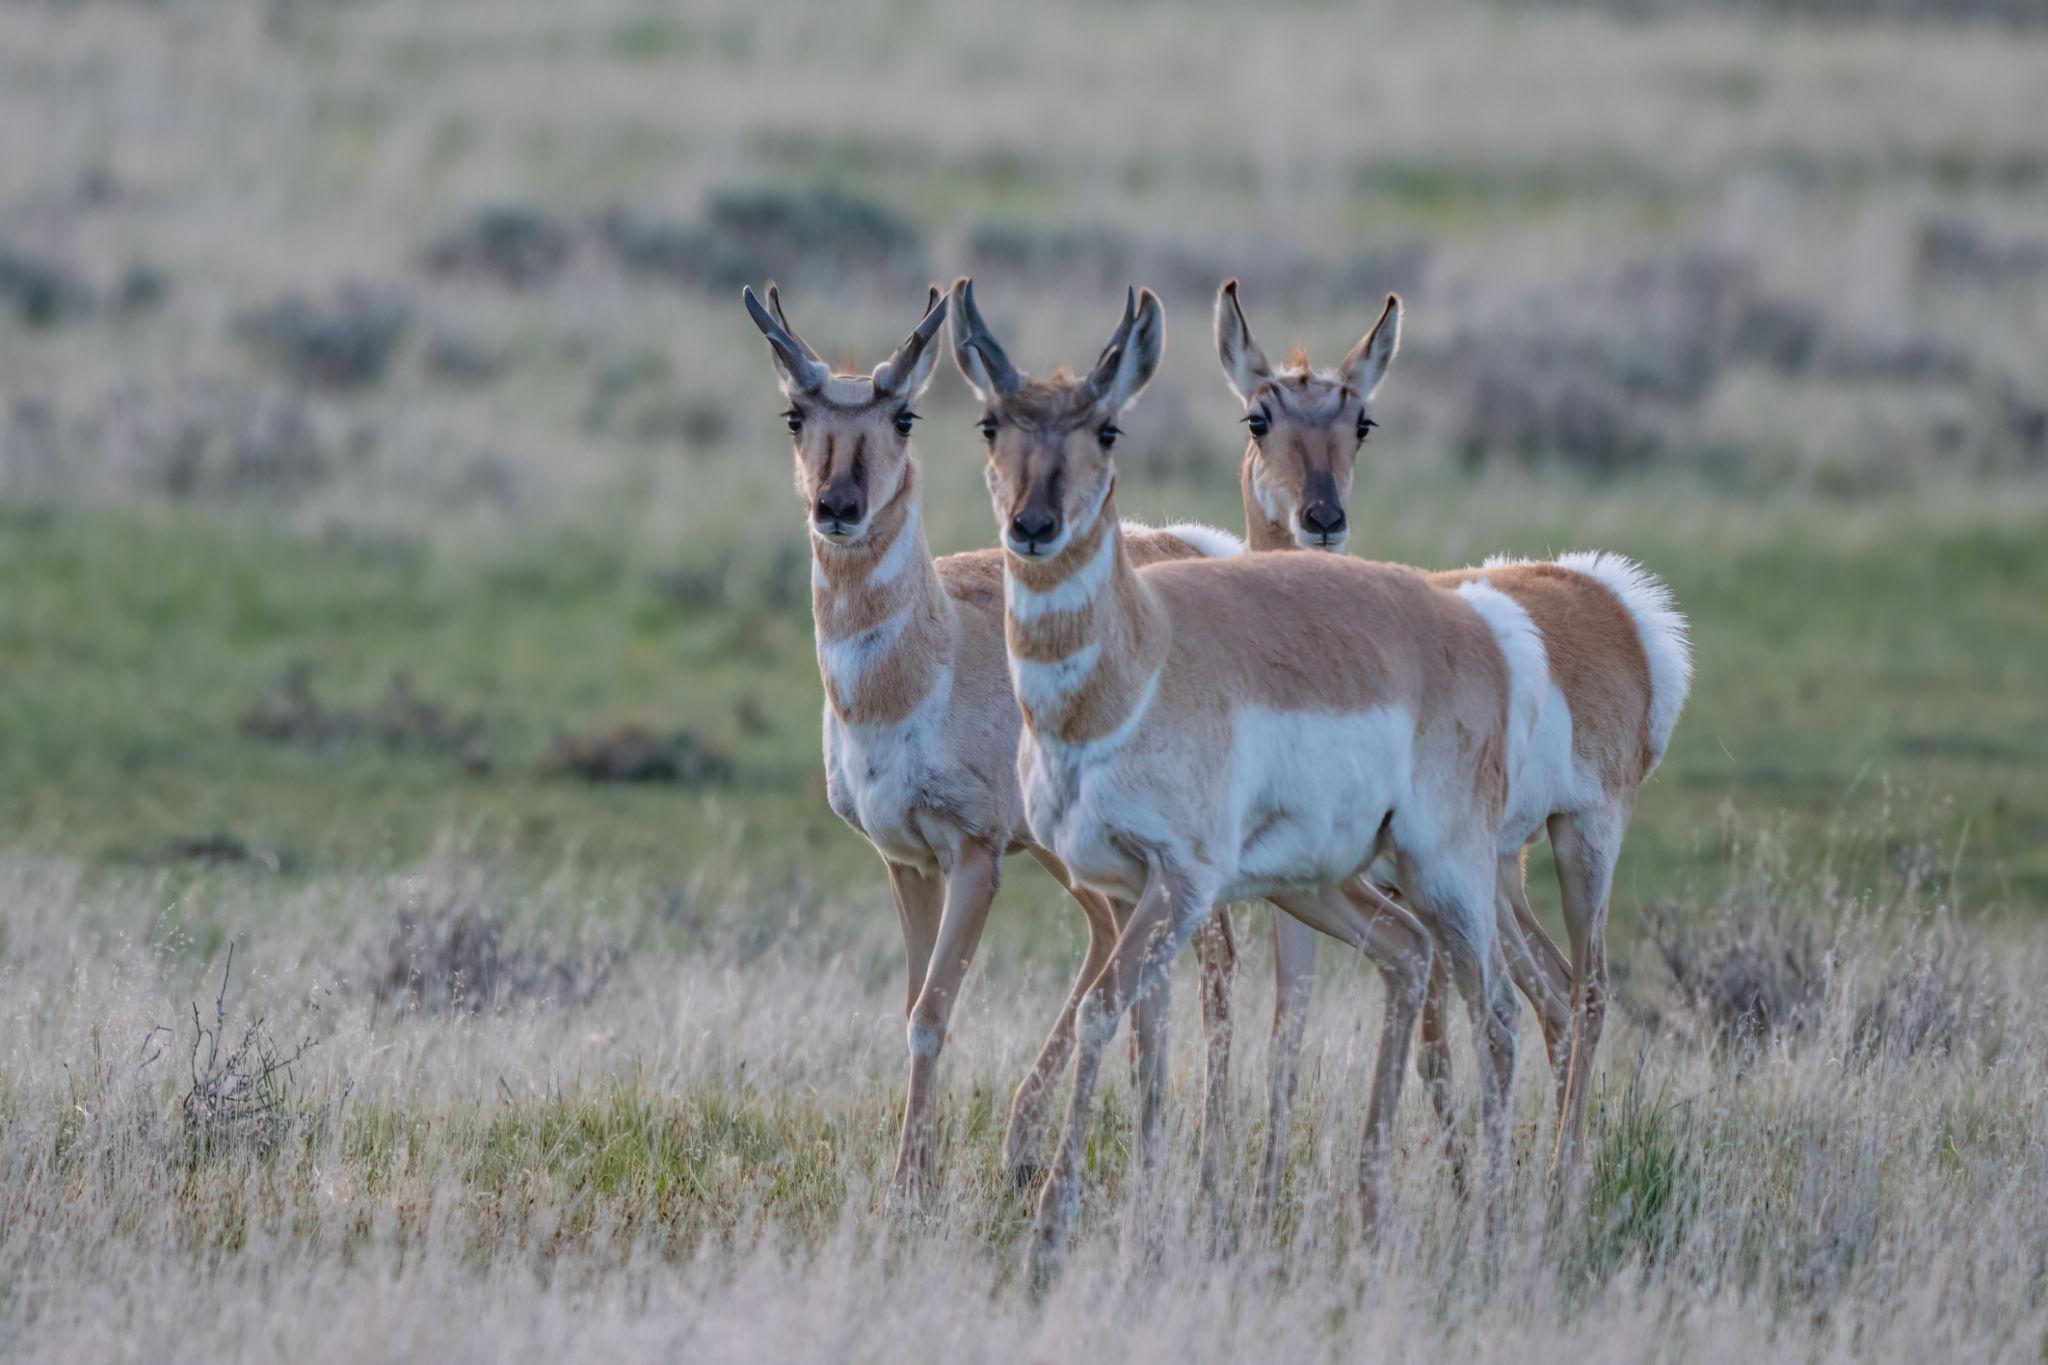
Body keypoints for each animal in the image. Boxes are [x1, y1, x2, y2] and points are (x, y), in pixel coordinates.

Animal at [739, 282, 1248, 1210]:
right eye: (796, 413)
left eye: (904, 414)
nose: (838, 508)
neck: (927, 658)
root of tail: (1194, 542)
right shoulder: (905, 860)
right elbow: (913, 1006)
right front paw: (922, 1168)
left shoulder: (975, 853)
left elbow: (934, 1013)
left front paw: (910, 1185)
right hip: (1074, 859)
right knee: (1111, 941)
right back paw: (1023, 1148)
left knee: (1218, 963)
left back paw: (1204, 1162)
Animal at [948, 277, 1533, 1286]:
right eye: (992, 423)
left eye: (1108, 428)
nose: (1032, 527)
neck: (1137, 663)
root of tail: (1463, 618)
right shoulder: (1127, 887)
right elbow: (1146, 1038)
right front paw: (1142, 1231)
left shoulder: (1181, 884)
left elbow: (1102, 1015)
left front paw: (1051, 1232)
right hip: (1325, 886)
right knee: (1408, 956)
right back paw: (1375, 1223)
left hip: (1447, 874)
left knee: (1494, 1014)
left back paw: (1490, 1233)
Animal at [1211, 277, 1694, 1196]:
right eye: (1259, 417)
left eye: (1362, 420)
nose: (1323, 517)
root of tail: (1602, 593)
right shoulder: (1312, 885)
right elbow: (1289, 1033)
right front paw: (1259, 1200)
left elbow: (1437, 1043)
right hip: (1498, 875)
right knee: (1550, 992)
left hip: (1581, 843)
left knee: (1587, 993)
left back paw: (1560, 1182)